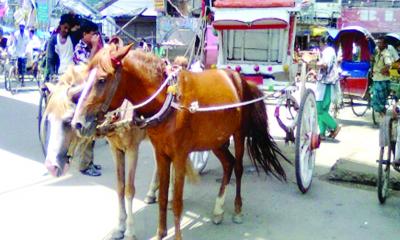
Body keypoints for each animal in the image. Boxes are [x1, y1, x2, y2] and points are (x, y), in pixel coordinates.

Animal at [72, 42, 290, 239]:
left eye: (101, 80)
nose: (77, 123)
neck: (169, 99)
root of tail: (240, 79)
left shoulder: (178, 155)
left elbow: (176, 202)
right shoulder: (160, 153)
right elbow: (161, 197)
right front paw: (160, 233)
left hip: (238, 134)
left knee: (238, 168)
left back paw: (237, 210)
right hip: (215, 140)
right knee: (228, 164)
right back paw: (218, 210)